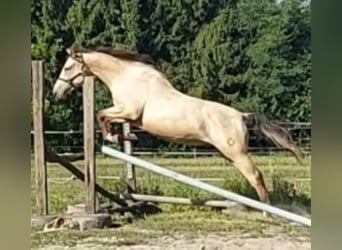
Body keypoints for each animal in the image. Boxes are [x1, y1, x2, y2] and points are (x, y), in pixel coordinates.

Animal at [52, 47, 304, 207]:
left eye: (67, 68)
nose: (56, 93)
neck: (126, 77)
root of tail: (242, 116)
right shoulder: (129, 117)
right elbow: (109, 119)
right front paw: (122, 137)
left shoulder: (129, 111)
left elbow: (101, 114)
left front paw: (111, 137)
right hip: (230, 154)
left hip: (237, 153)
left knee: (255, 176)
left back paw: (266, 210)